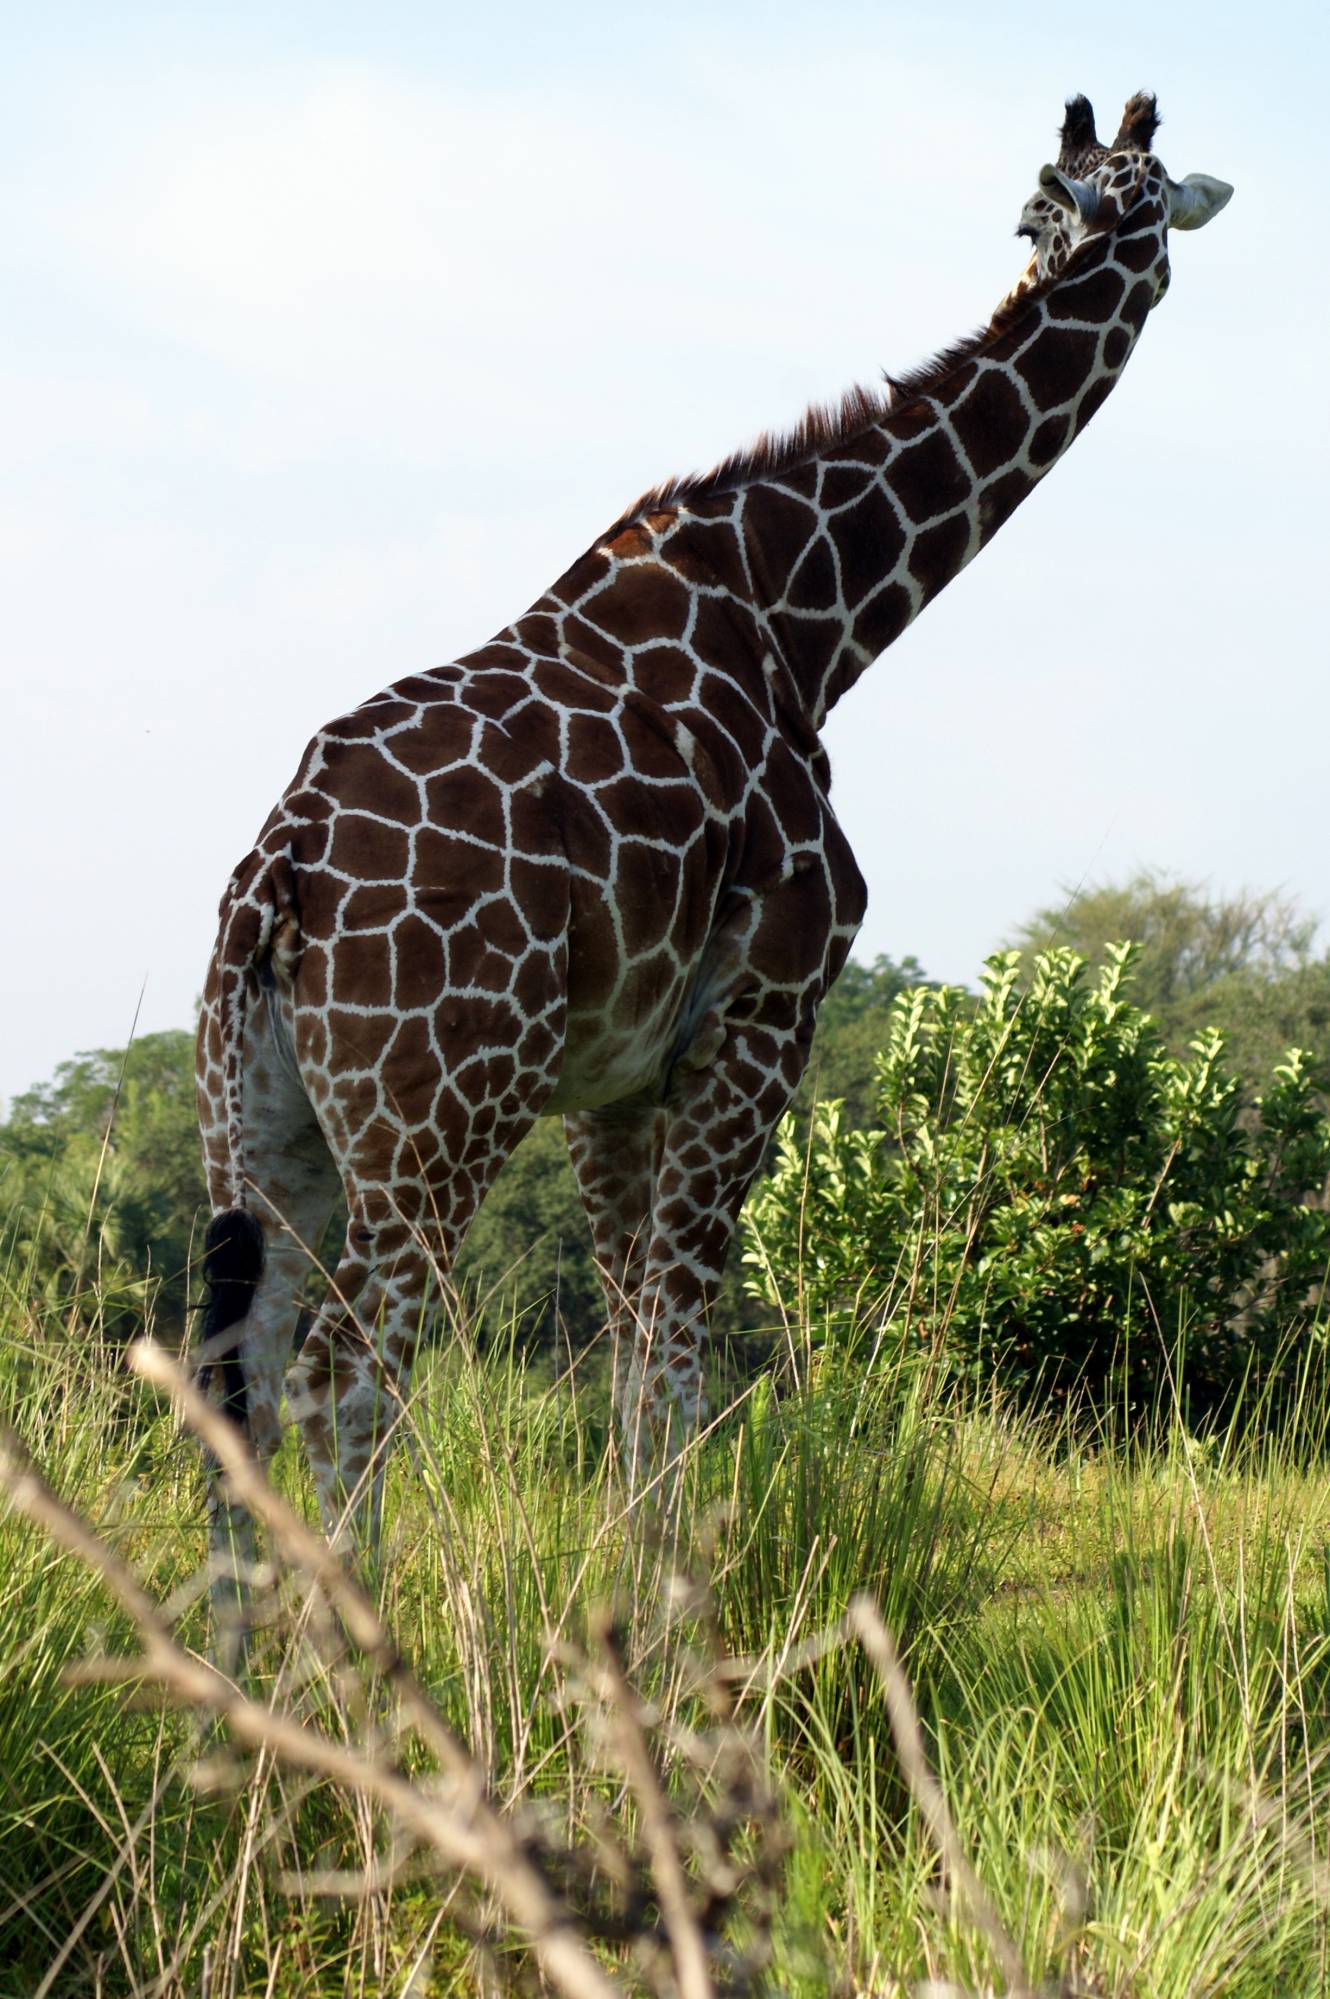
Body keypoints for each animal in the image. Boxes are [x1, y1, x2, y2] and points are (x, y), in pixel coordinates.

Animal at [195, 93, 1224, 1583]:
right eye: (1117, 197)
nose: (1098, 266)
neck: (809, 618)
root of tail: (278, 872)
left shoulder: (613, 1079)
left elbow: (635, 1364)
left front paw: (625, 1606)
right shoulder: (762, 1012)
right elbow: (680, 1367)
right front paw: (677, 1624)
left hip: (260, 1122)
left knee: (246, 1375)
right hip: (437, 1115)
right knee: (348, 1376)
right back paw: (352, 1641)